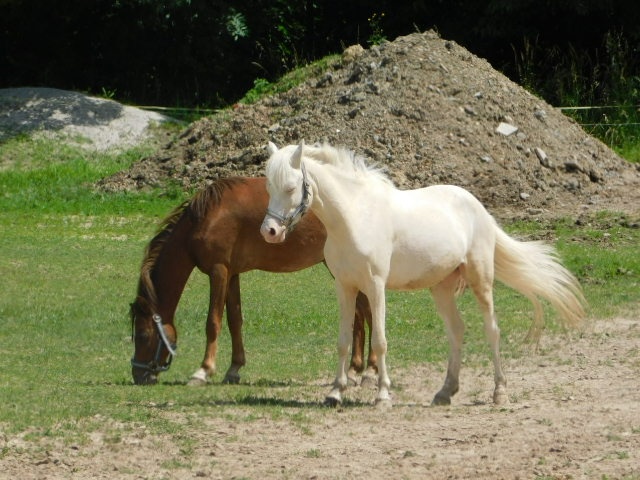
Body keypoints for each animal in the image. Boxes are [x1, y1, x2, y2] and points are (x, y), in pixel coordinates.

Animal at [130, 176, 376, 386]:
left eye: (142, 335)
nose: (138, 375)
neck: (207, 217)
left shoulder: (218, 271)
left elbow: (213, 322)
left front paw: (203, 371)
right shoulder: (232, 274)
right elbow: (234, 320)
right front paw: (234, 369)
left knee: (367, 312)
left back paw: (370, 371)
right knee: (360, 313)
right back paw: (354, 370)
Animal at [260, 141, 586, 408]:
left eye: (290, 188)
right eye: (269, 188)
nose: (270, 232)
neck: (354, 217)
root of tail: (479, 208)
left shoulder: (375, 286)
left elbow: (380, 340)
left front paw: (382, 395)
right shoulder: (345, 287)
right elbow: (342, 340)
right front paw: (335, 393)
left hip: (481, 280)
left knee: (492, 329)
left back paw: (499, 393)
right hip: (441, 289)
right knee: (456, 331)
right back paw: (445, 392)